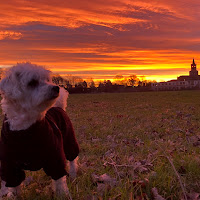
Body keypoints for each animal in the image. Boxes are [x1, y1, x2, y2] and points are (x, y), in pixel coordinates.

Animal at [0, 62, 79, 198]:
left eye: (47, 79)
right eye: (32, 82)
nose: (56, 88)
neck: (25, 131)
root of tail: (58, 106)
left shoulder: (55, 158)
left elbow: (59, 181)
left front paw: (63, 195)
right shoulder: (10, 166)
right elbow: (14, 186)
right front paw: (13, 196)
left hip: (69, 141)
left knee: (73, 159)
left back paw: (73, 175)